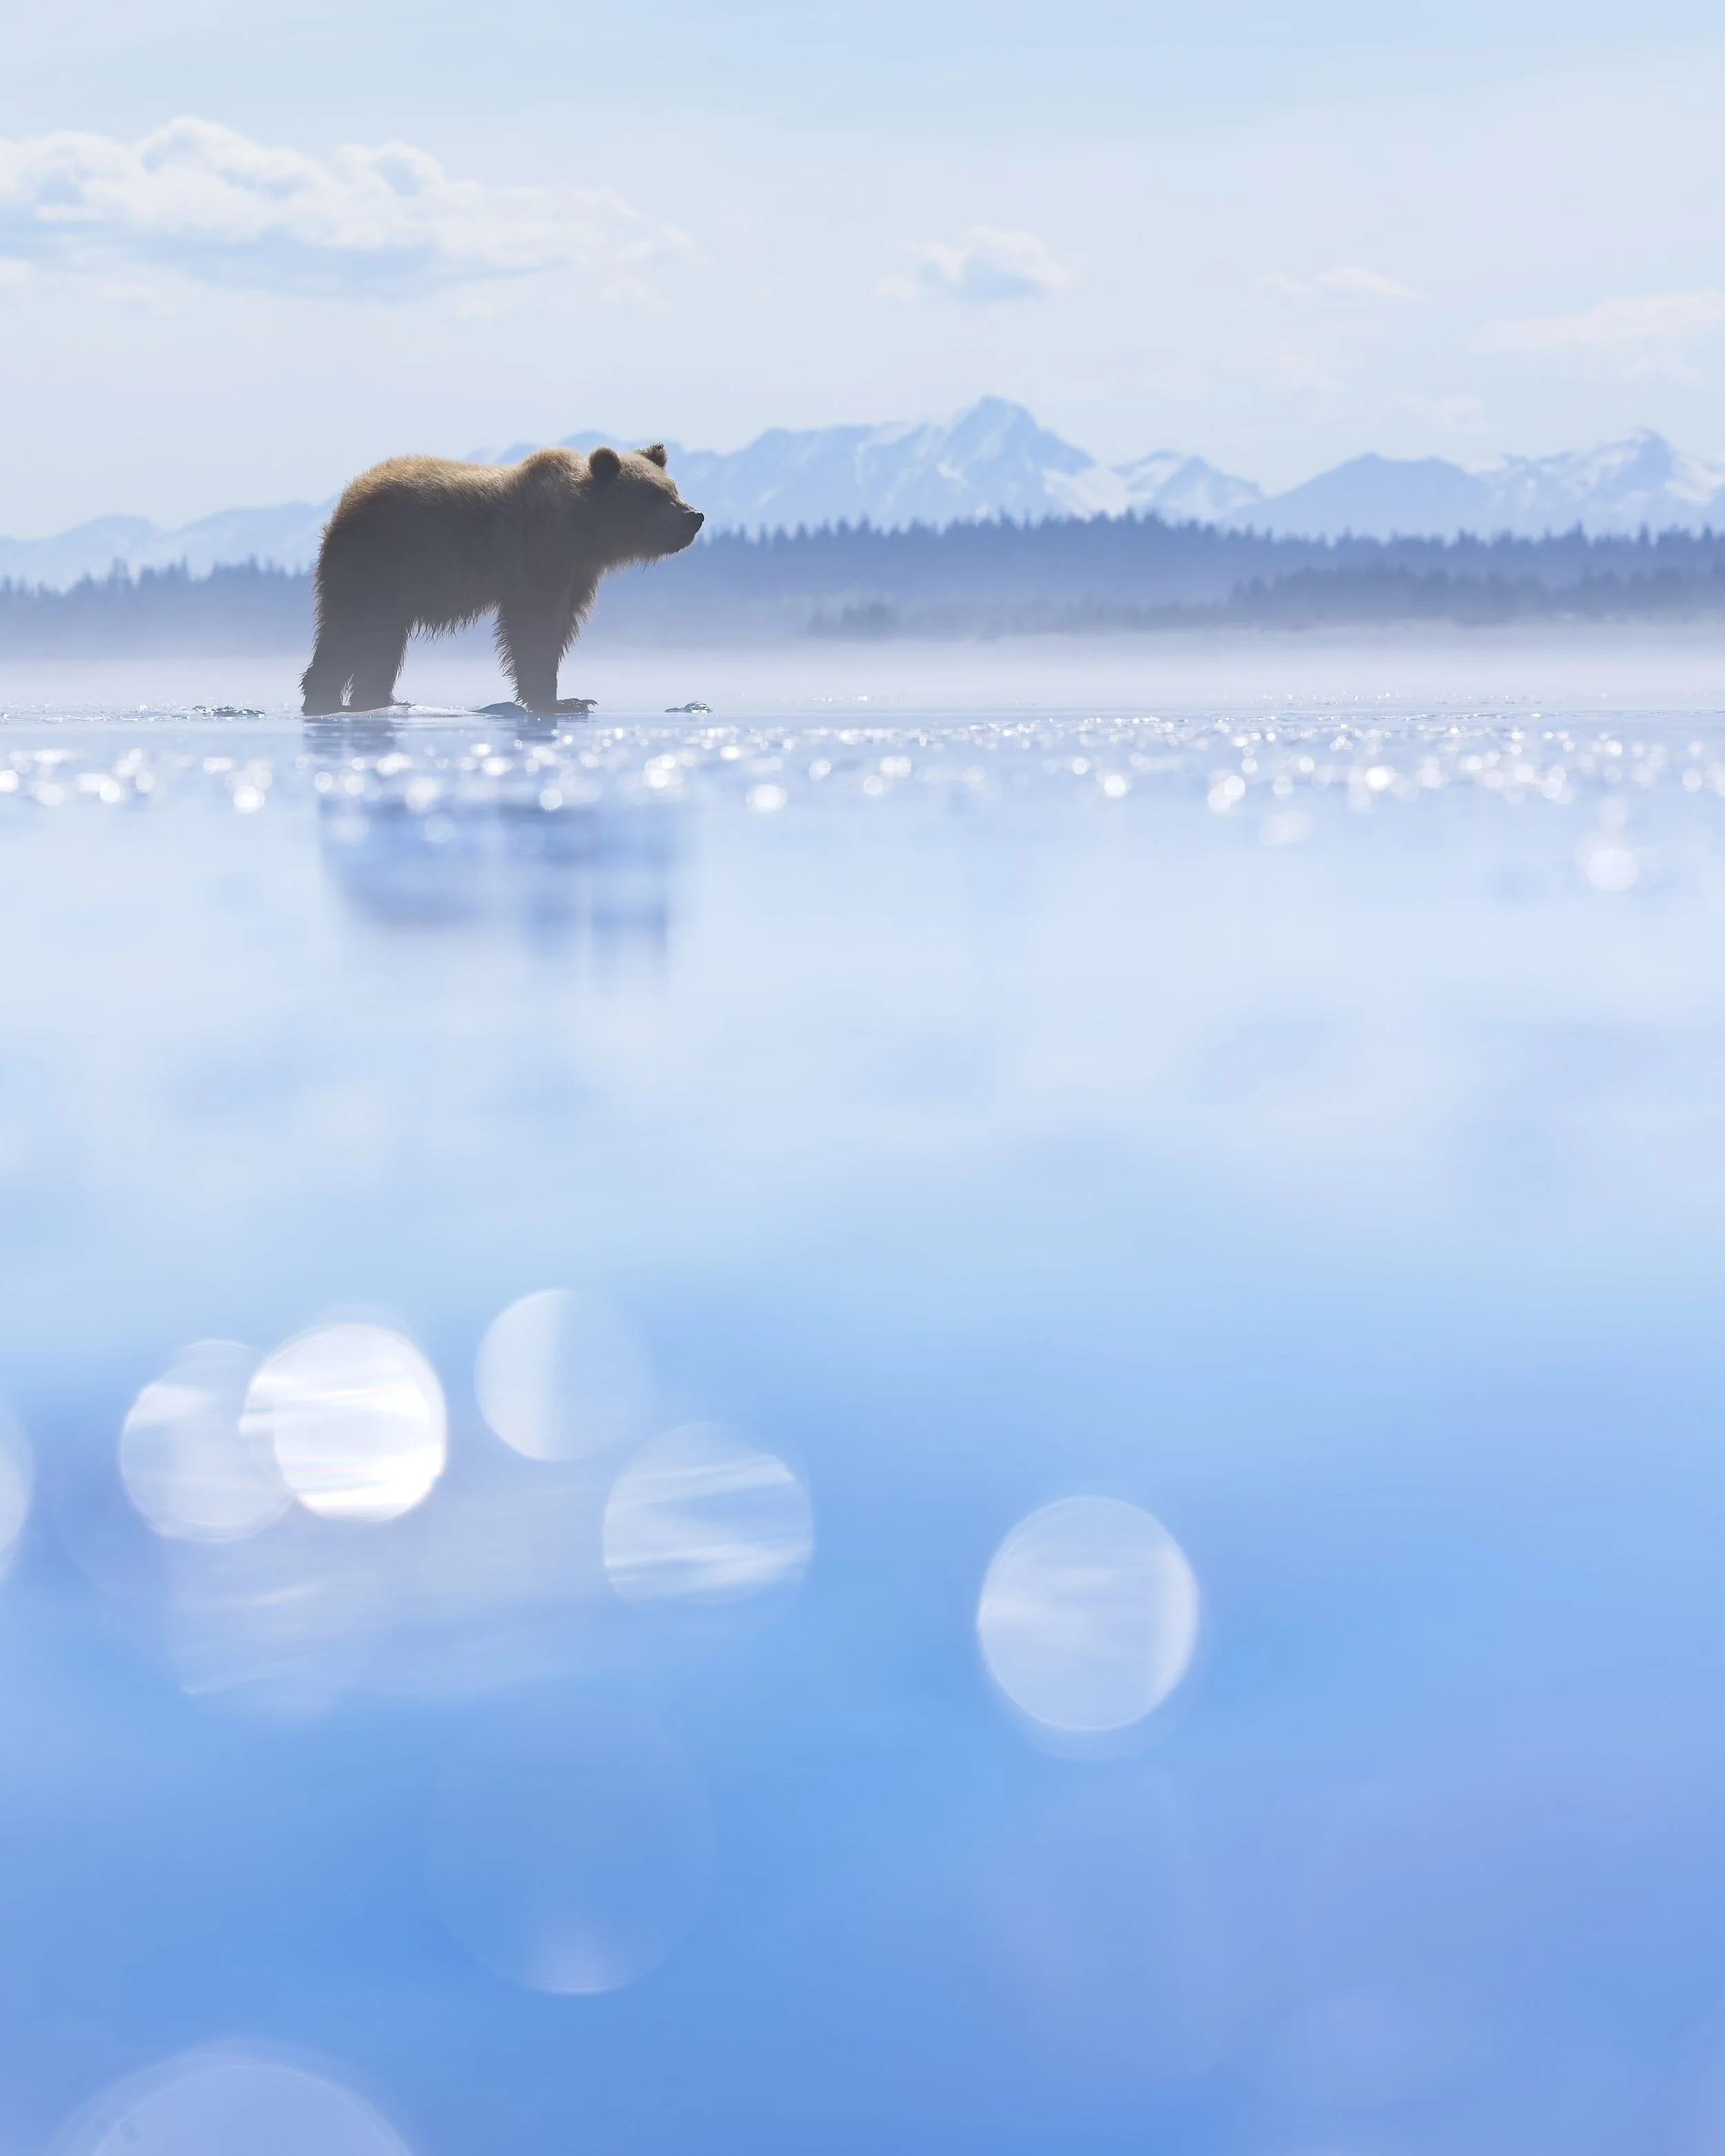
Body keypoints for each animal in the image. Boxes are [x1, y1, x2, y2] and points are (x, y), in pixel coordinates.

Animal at [300, 443, 704, 716]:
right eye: (653, 494)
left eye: (673, 487)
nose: (694, 516)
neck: (581, 532)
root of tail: (348, 497)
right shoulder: (537, 558)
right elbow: (532, 628)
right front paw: (559, 700)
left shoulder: (577, 575)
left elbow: (561, 627)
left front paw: (570, 696)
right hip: (377, 567)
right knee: (348, 633)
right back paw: (325, 698)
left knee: (380, 643)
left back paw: (378, 697)